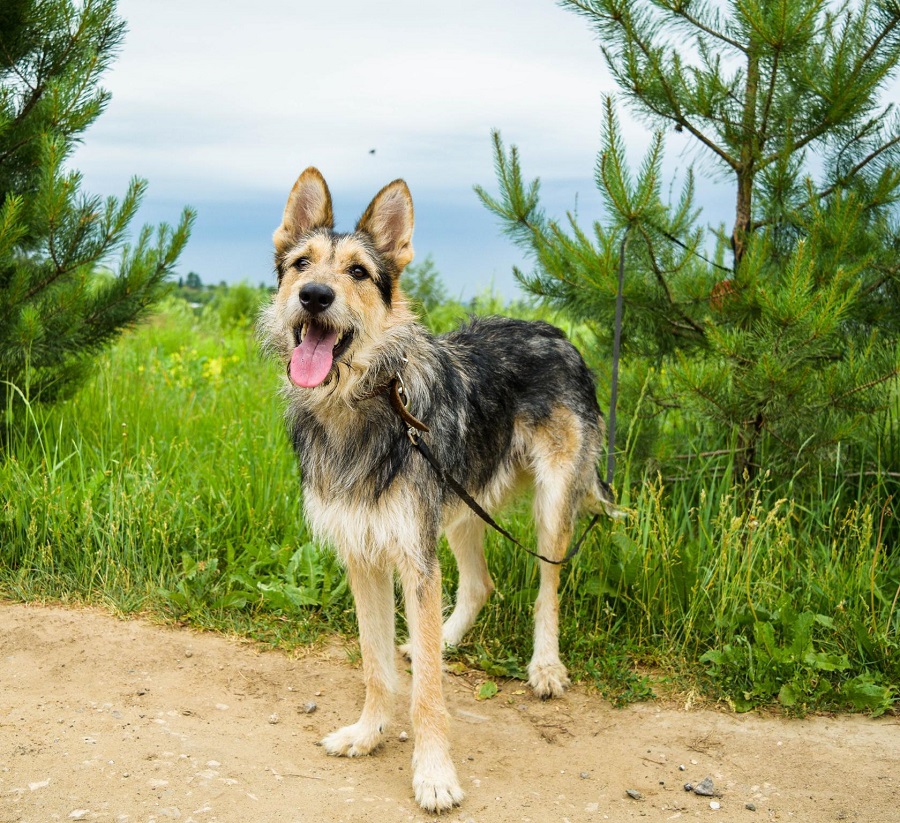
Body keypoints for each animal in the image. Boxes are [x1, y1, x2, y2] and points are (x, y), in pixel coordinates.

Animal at [259, 168, 614, 812]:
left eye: (357, 272)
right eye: (301, 264)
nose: (314, 296)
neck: (365, 405)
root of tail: (557, 332)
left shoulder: (412, 558)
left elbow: (427, 692)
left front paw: (433, 774)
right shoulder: (366, 556)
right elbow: (376, 665)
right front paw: (368, 733)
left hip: (549, 505)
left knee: (547, 584)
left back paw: (545, 666)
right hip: (460, 508)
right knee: (478, 585)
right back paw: (444, 639)